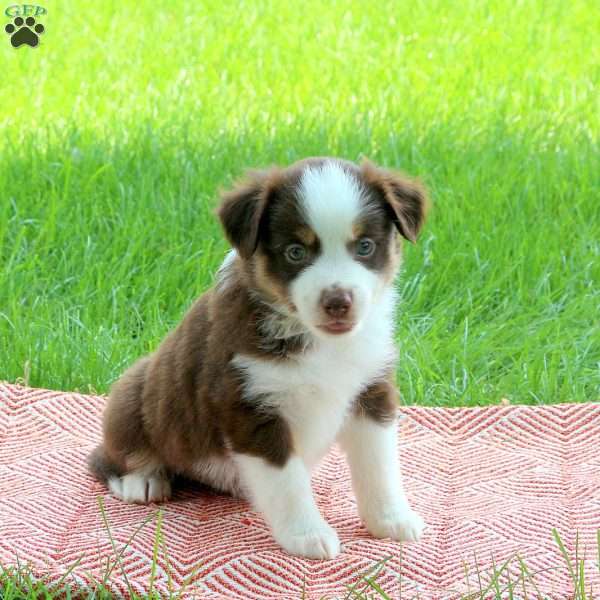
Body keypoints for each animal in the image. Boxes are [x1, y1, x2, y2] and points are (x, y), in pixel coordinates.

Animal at [88, 157, 426, 560]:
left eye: (364, 246)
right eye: (295, 252)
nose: (338, 301)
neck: (320, 342)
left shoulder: (372, 391)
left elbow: (380, 467)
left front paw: (392, 519)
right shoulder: (251, 408)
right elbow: (287, 482)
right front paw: (307, 535)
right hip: (131, 392)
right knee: (106, 455)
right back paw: (142, 480)